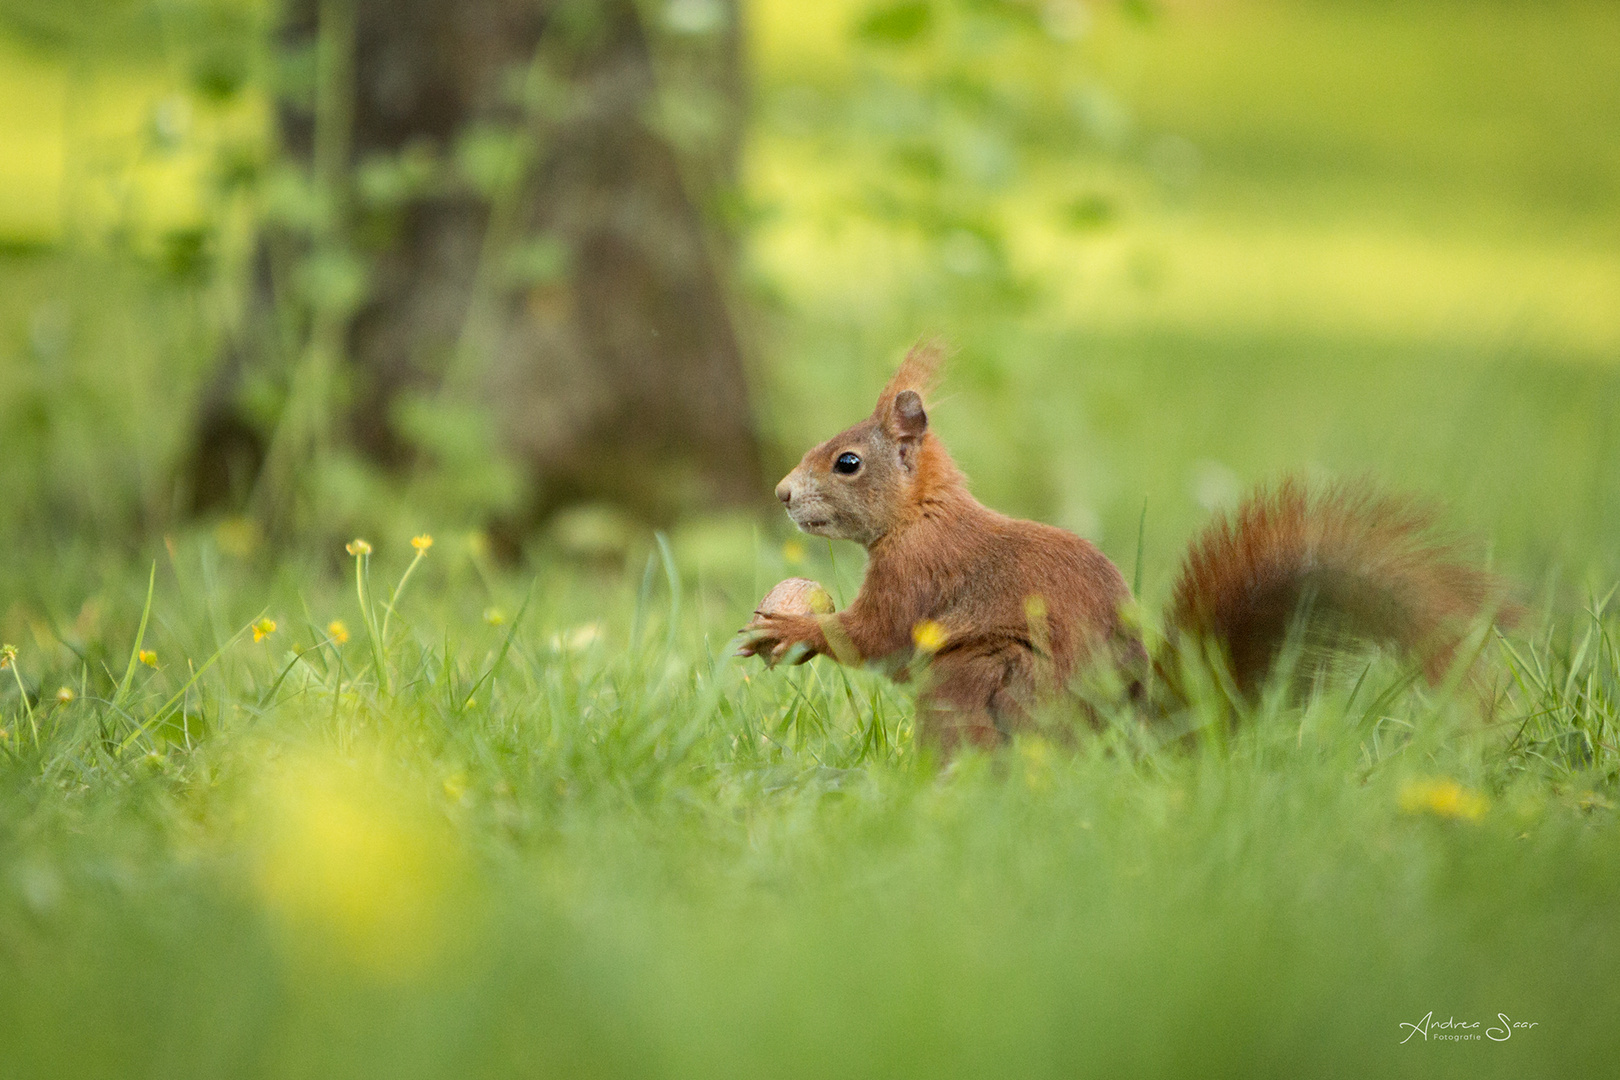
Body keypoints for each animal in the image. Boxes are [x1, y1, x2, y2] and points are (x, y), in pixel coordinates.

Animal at [741, 341, 1509, 748]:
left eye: (847, 462)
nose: (781, 493)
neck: (920, 515)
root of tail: (1132, 740)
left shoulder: (920, 576)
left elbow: (877, 635)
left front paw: (791, 627)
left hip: (981, 682)